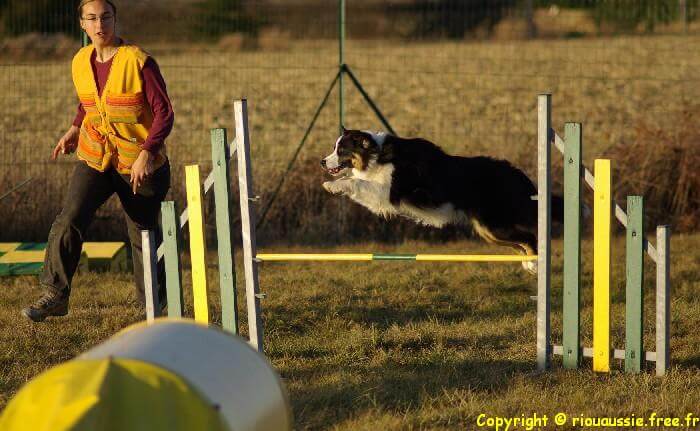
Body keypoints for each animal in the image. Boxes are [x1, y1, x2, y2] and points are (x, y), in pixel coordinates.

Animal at [322, 128, 564, 274]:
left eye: (341, 150)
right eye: (333, 148)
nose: (322, 162)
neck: (377, 154)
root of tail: (517, 174)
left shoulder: (387, 192)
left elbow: (356, 182)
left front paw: (332, 185)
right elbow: (354, 179)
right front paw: (334, 182)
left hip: (495, 225)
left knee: (530, 237)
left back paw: (534, 262)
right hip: (488, 231)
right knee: (521, 243)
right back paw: (529, 264)